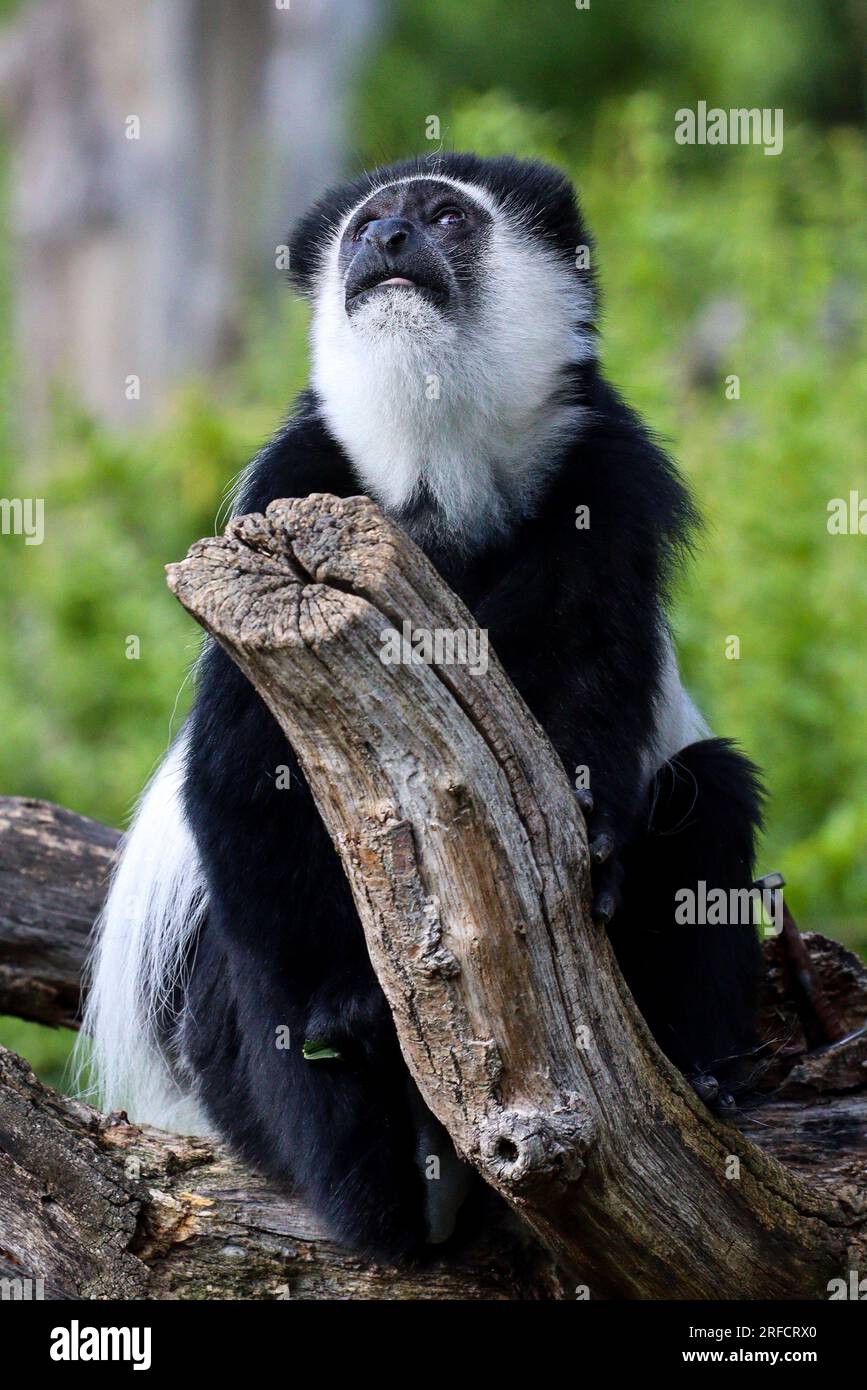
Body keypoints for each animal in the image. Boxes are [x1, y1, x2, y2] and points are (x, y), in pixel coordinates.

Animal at [83, 154, 766, 1262]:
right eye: (370, 220)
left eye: (446, 216)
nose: (388, 235)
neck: (440, 467)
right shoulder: (283, 510)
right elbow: (244, 773)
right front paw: (343, 1007)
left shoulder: (607, 480)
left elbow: (596, 681)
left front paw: (595, 847)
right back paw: (392, 1187)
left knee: (709, 794)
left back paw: (696, 1080)